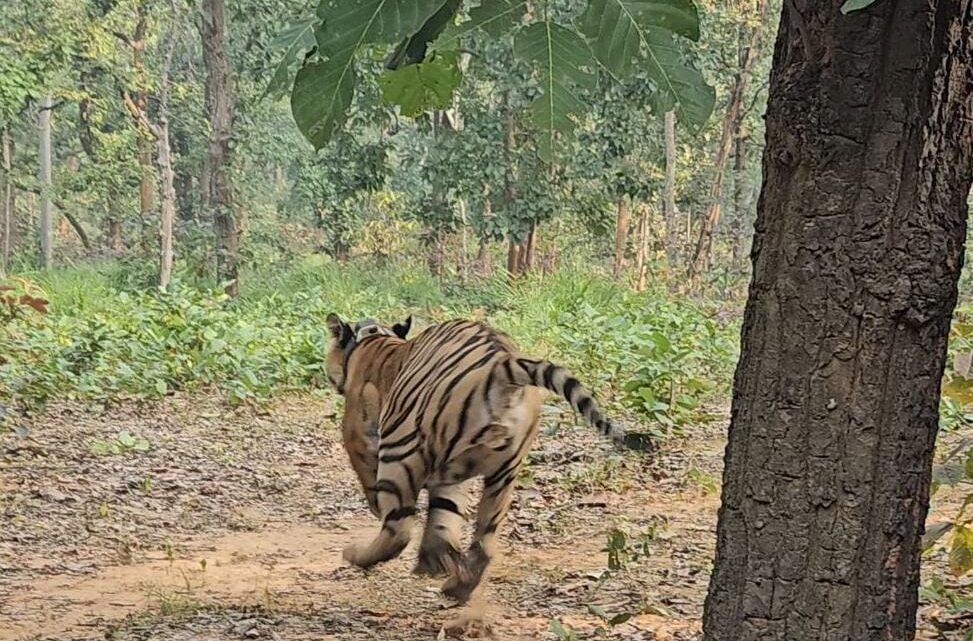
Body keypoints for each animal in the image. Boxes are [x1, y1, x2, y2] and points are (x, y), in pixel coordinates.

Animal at [326, 312, 644, 604]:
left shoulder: (357, 434)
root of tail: (502, 367)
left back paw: (357, 555)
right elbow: (445, 516)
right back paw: (454, 585)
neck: (373, 339)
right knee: (482, 542)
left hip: (400, 447)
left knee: (399, 531)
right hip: (501, 474)